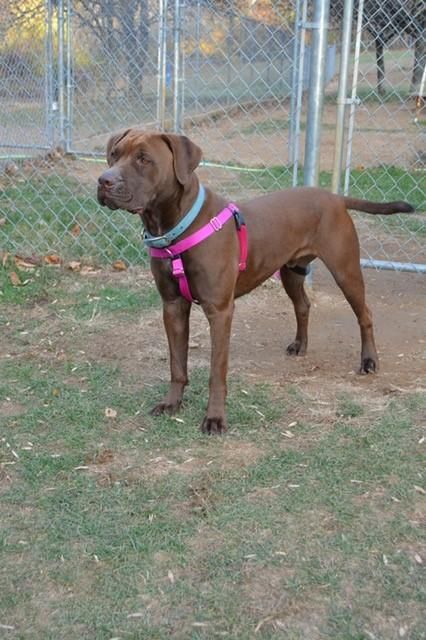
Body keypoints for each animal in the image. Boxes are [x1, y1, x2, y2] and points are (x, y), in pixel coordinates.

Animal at [97, 127, 412, 432]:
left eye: (144, 159)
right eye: (114, 154)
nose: (103, 181)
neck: (177, 228)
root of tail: (334, 197)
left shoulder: (219, 310)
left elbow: (216, 372)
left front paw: (215, 418)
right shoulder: (172, 306)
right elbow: (177, 364)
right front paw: (172, 403)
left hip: (345, 271)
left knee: (364, 314)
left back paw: (369, 361)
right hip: (291, 272)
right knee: (303, 305)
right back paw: (300, 345)